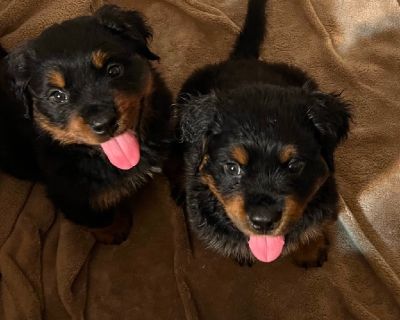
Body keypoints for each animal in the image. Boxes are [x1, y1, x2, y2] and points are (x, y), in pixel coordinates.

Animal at [172, 0, 350, 266]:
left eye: (295, 165)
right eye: (232, 167)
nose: (264, 220)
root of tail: (243, 59)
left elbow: (312, 223)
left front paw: (310, 247)